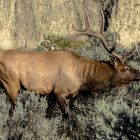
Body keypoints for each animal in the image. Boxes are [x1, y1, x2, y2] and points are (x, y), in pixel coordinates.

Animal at [0, 0, 139, 119]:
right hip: (11, 83)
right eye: (126, 68)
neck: (81, 77)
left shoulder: (70, 95)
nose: (138, 73)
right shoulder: (59, 92)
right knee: (11, 111)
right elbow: (67, 117)